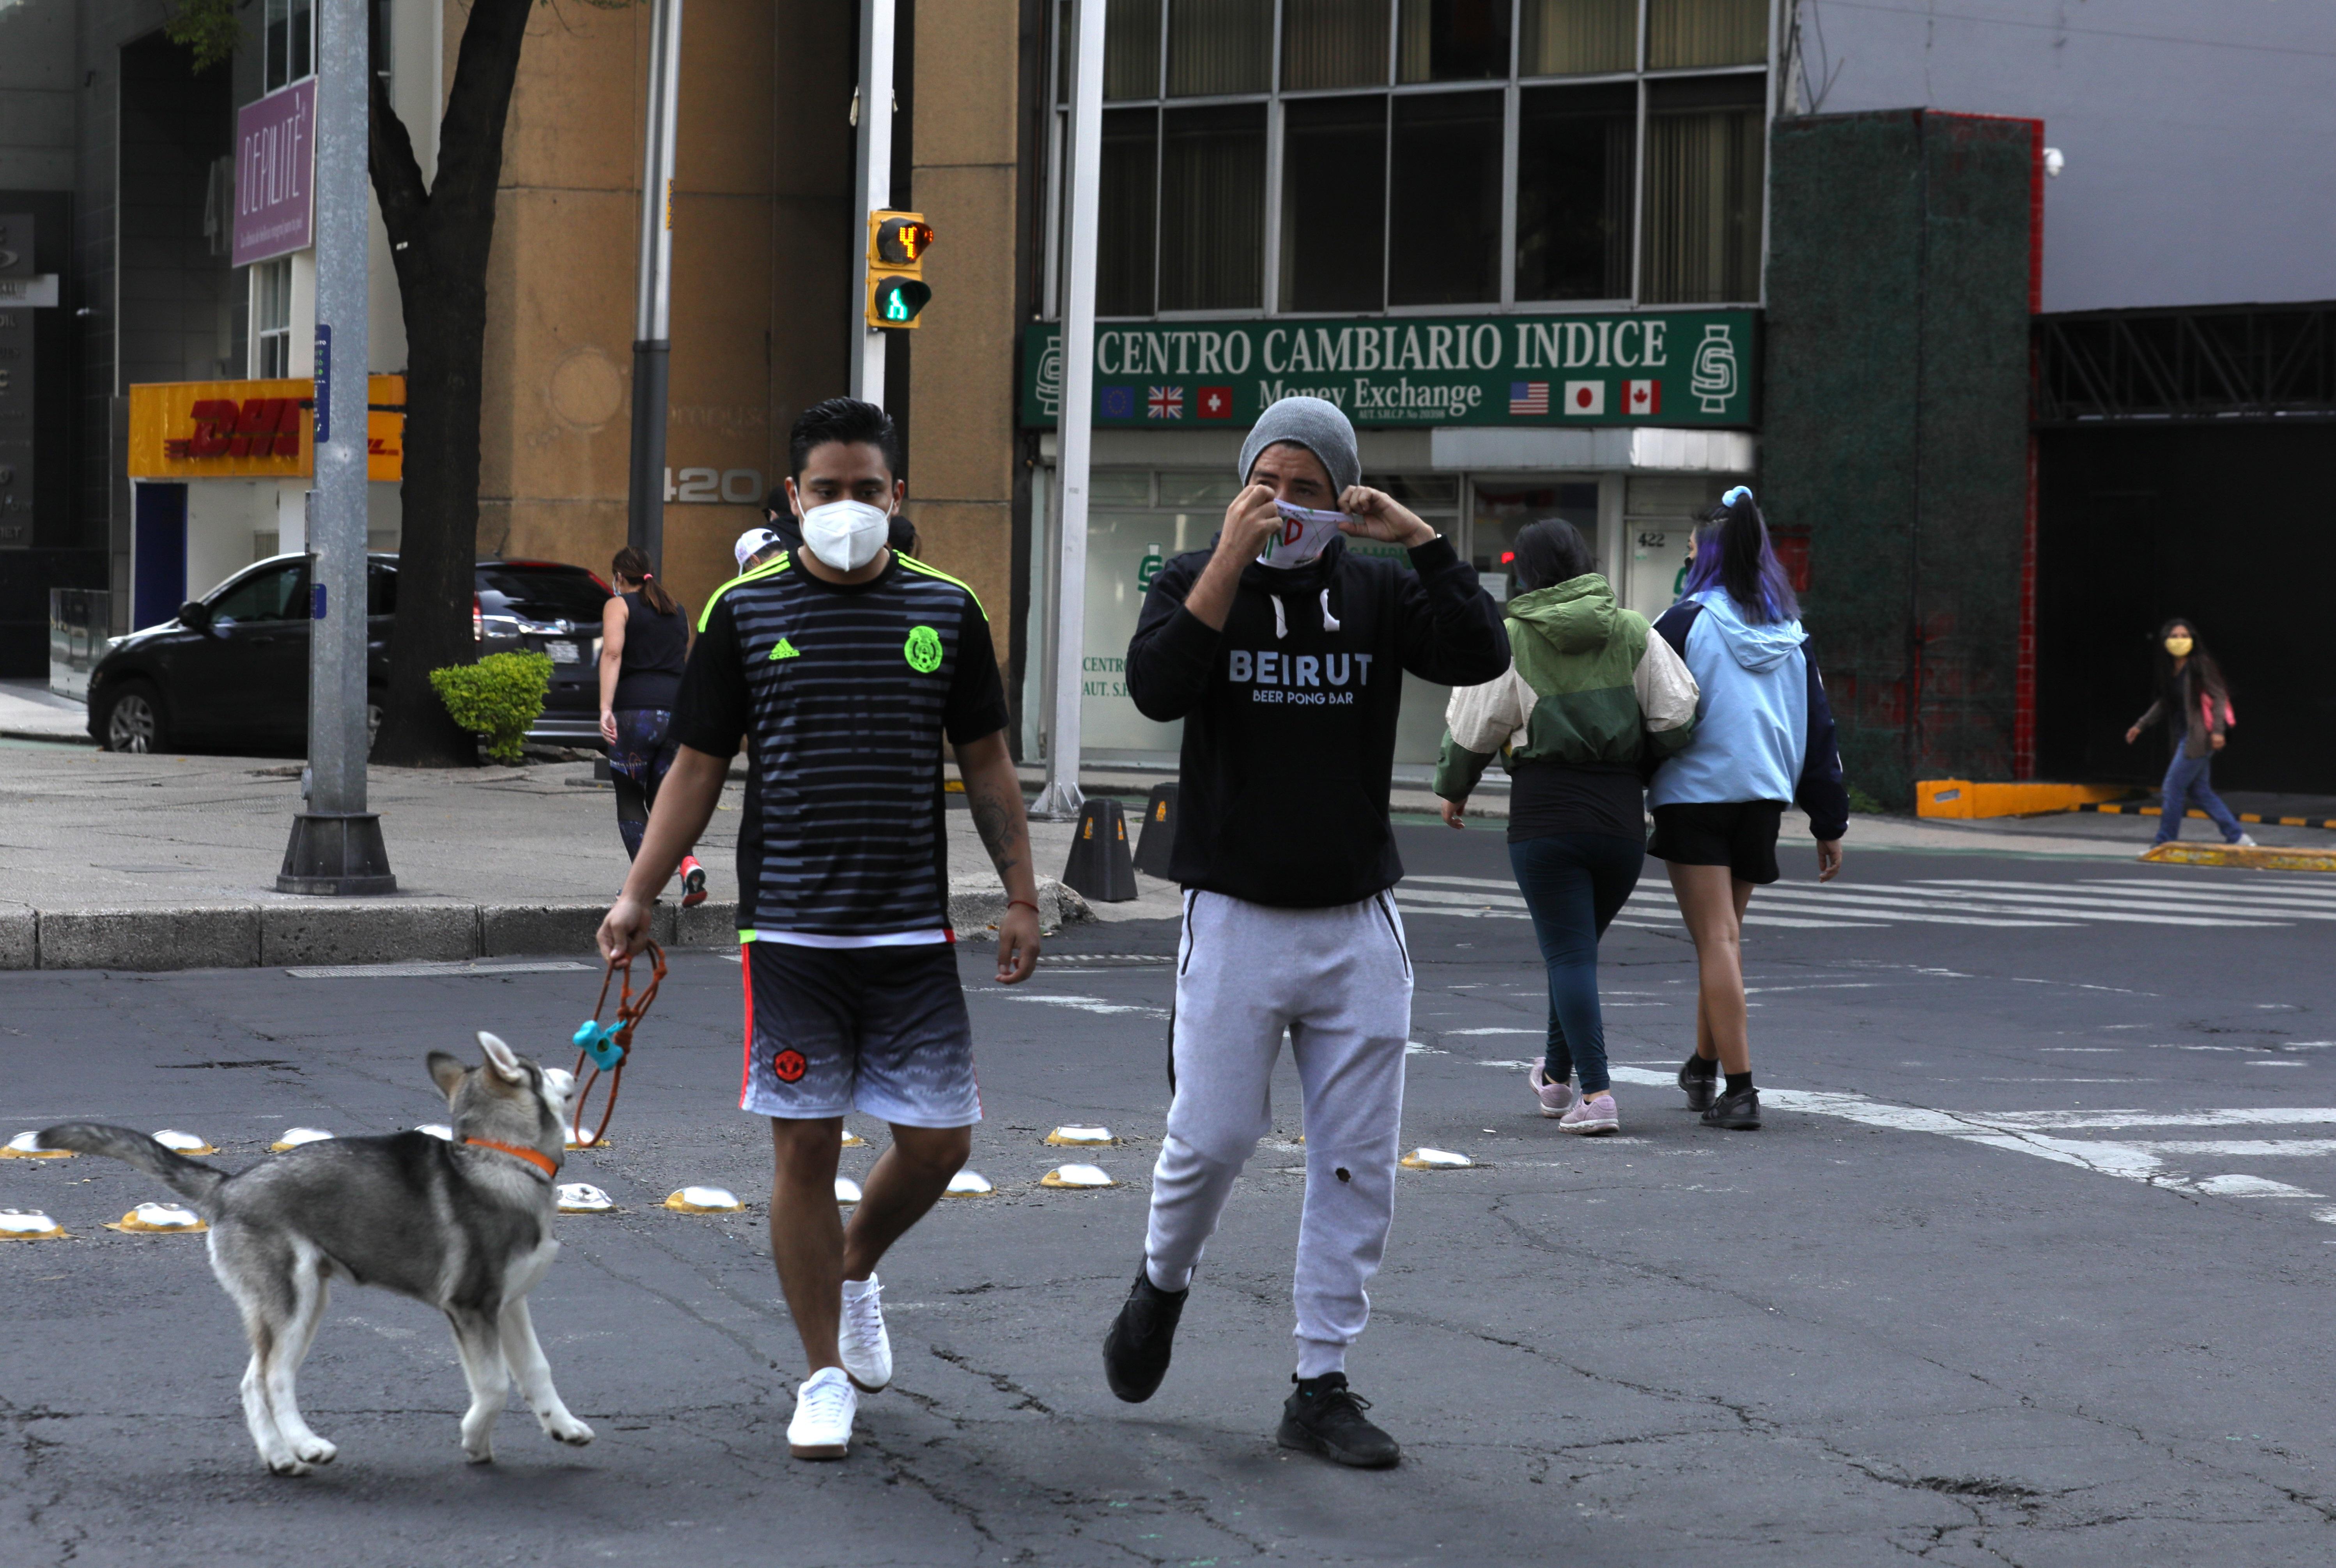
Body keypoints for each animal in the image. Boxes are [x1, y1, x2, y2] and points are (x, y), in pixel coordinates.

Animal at [41, 1028, 593, 1477]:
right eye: (537, 1069)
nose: (574, 1068)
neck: (503, 1159)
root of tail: (227, 1185)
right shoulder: (471, 1305)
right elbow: (494, 1384)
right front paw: (475, 1438)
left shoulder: (509, 1304)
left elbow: (537, 1370)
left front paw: (563, 1426)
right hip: (293, 1301)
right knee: (274, 1377)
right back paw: (307, 1445)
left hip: (297, 1306)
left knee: (254, 1380)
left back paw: (280, 1456)